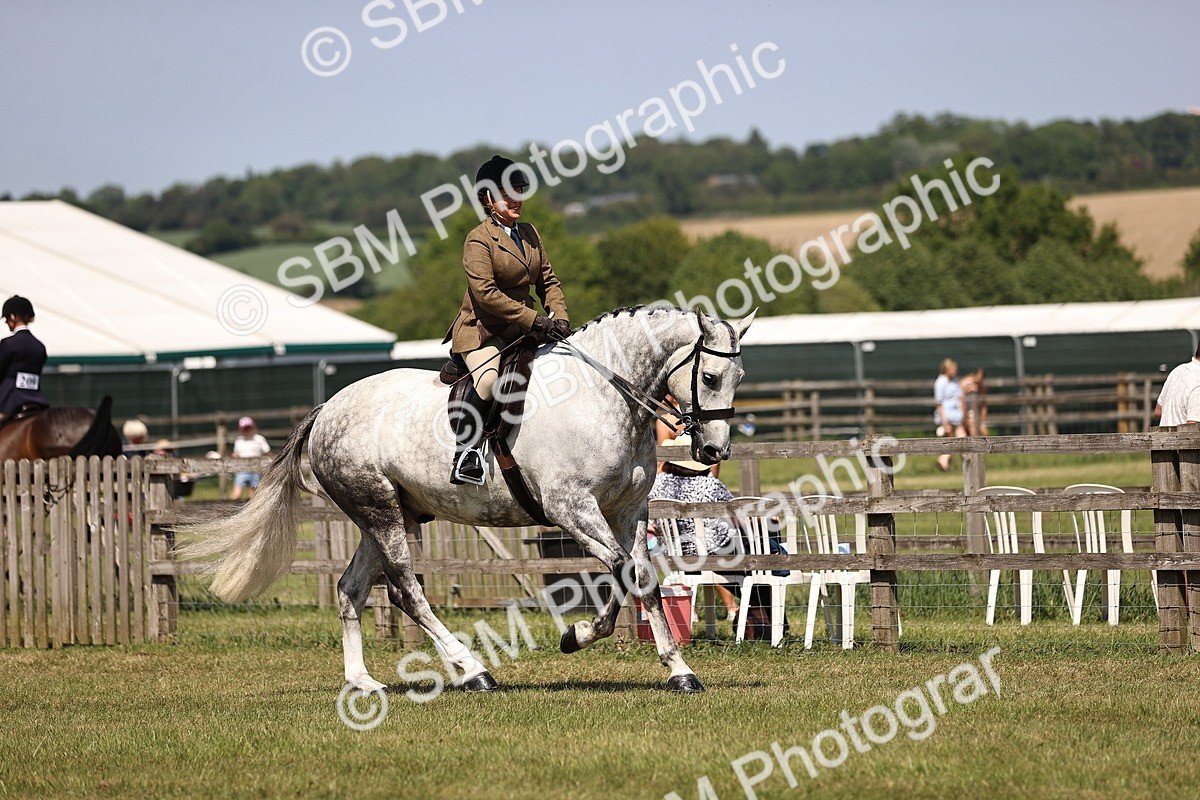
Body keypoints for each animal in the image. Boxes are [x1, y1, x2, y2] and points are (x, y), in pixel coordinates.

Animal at [180, 306, 754, 694]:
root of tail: (328, 408)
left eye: (739, 377)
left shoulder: (627, 511)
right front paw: (580, 635)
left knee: (351, 590)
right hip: (380, 511)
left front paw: (677, 670)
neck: (603, 396)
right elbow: (624, 574)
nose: (713, 450)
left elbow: (641, 580)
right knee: (406, 590)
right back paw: (474, 671)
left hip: (389, 515)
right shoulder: (572, 510)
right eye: (708, 376)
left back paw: (364, 681)